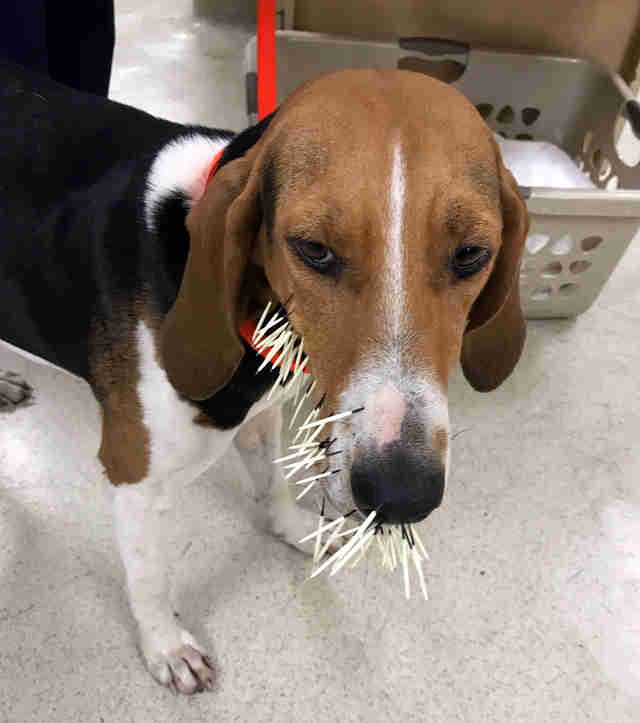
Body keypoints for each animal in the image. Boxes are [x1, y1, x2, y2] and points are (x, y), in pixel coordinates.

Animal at [0, 60, 528, 696]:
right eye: (314, 250)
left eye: (472, 253)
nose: (401, 495)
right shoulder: (135, 476)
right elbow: (149, 577)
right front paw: (166, 646)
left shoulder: (262, 413)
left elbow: (272, 484)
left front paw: (295, 529)